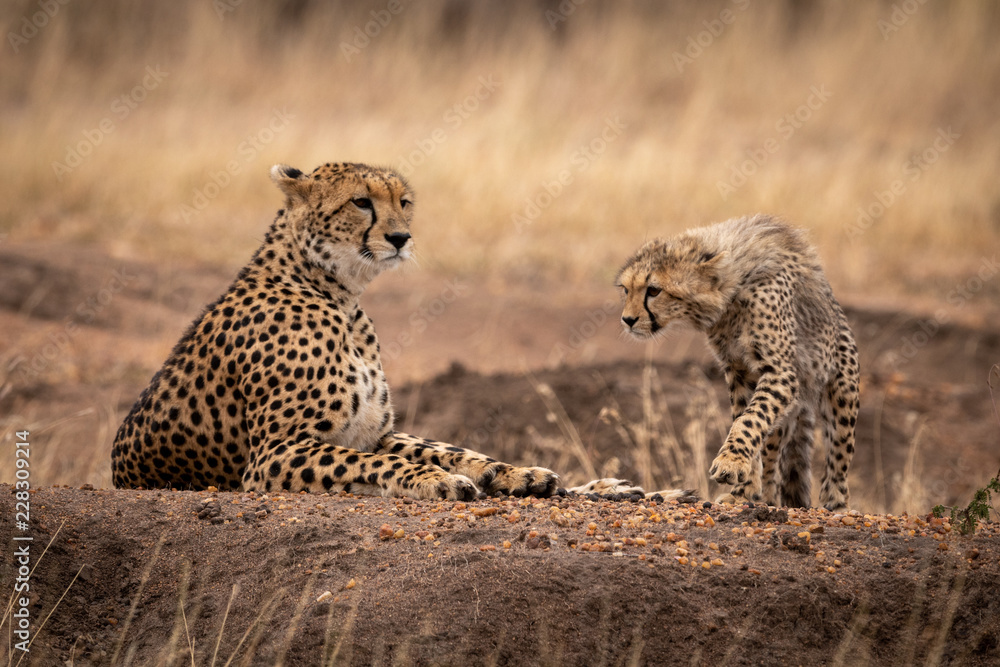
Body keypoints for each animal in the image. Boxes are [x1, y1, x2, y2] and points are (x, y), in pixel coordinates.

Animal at [111, 161, 559, 500]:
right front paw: (436, 480)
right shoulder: (272, 454)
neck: (338, 296)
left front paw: (510, 472)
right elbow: (376, 461)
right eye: (361, 202)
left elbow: (433, 449)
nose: (401, 237)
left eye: (403, 202)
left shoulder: (374, 433)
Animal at [616, 214, 860, 510]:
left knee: (839, 452)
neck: (733, 291)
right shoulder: (739, 372)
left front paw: (730, 464)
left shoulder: (780, 373)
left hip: (841, 391)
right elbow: (744, 418)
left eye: (653, 290)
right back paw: (765, 496)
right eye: (626, 290)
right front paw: (743, 489)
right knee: (774, 453)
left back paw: (836, 503)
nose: (628, 320)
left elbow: (751, 419)